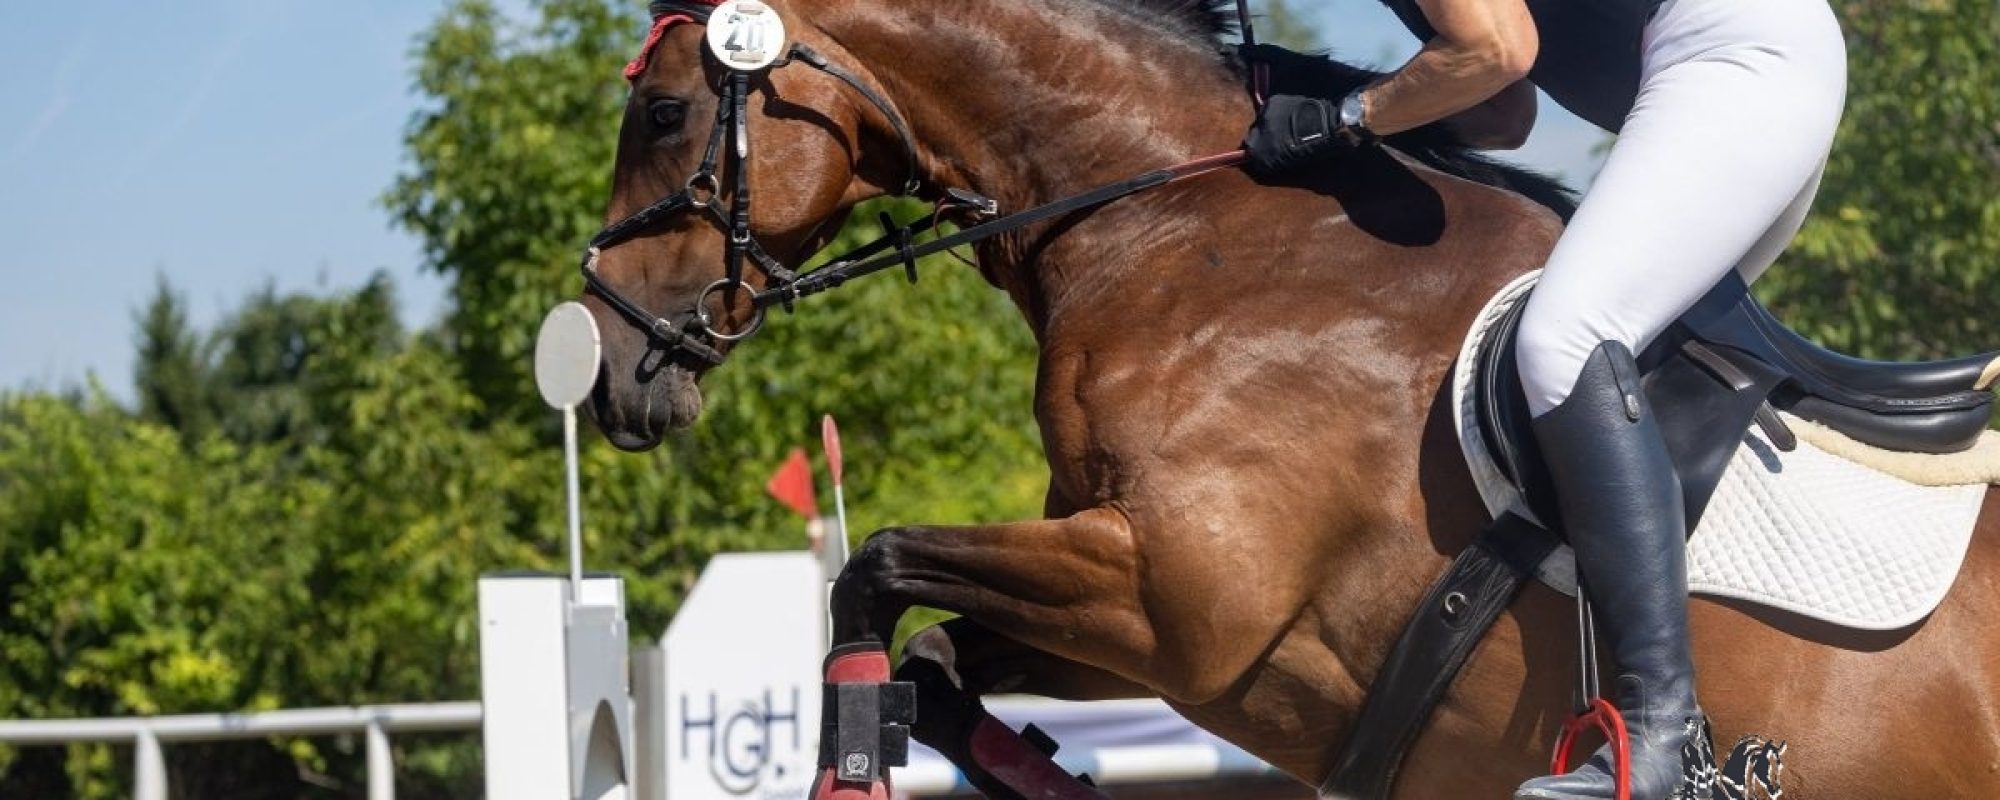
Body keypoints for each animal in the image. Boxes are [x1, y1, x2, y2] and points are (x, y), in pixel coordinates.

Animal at [578, 0, 2000, 796]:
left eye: (664, 111)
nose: (599, 358)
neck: (1176, 221)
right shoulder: (1145, 614)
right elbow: (930, 659)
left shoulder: (1181, 595)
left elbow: (868, 569)